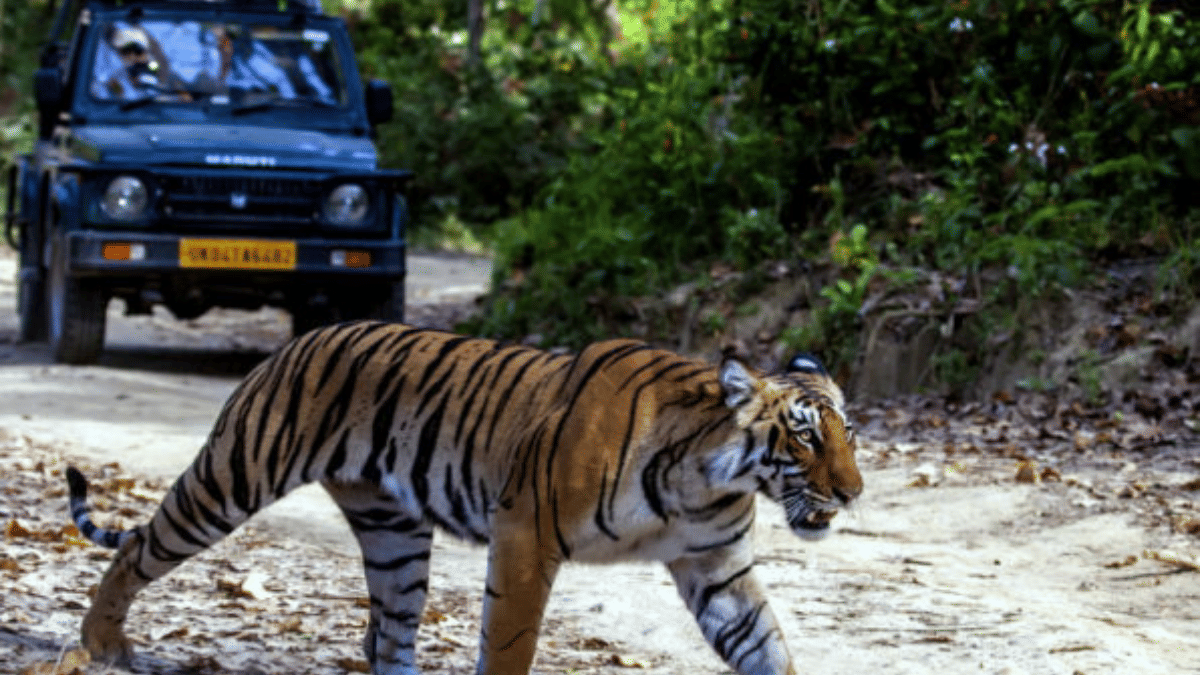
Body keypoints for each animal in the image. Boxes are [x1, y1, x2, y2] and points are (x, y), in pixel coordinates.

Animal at [66, 321, 863, 675]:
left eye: (850, 434)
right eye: (804, 437)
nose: (853, 493)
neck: (707, 477)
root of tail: (303, 336)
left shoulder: (714, 564)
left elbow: (766, 644)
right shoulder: (526, 534)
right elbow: (510, 641)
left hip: (393, 535)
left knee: (390, 633)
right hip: (234, 475)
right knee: (139, 547)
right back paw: (103, 642)